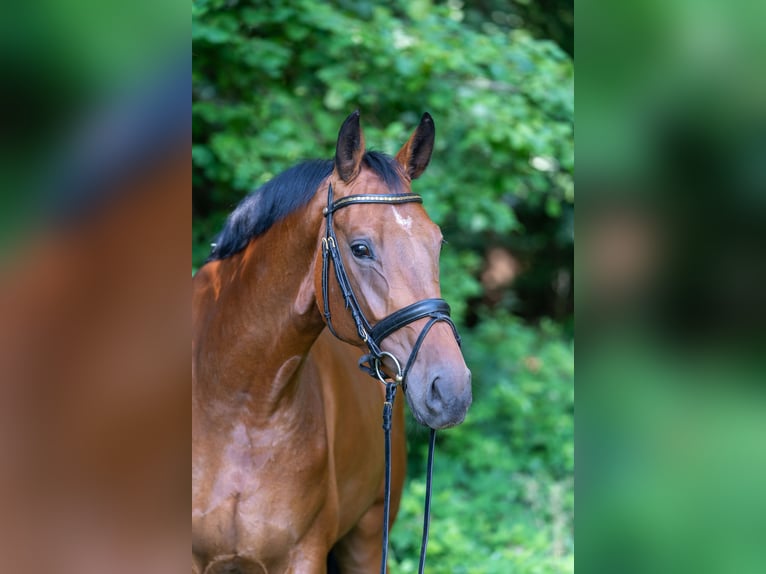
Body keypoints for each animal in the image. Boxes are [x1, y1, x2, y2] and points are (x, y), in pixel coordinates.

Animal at [192, 111, 472, 573]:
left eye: (438, 242)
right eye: (360, 248)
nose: (451, 390)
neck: (237, 404)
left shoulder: (305, 555)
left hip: (368, 536)